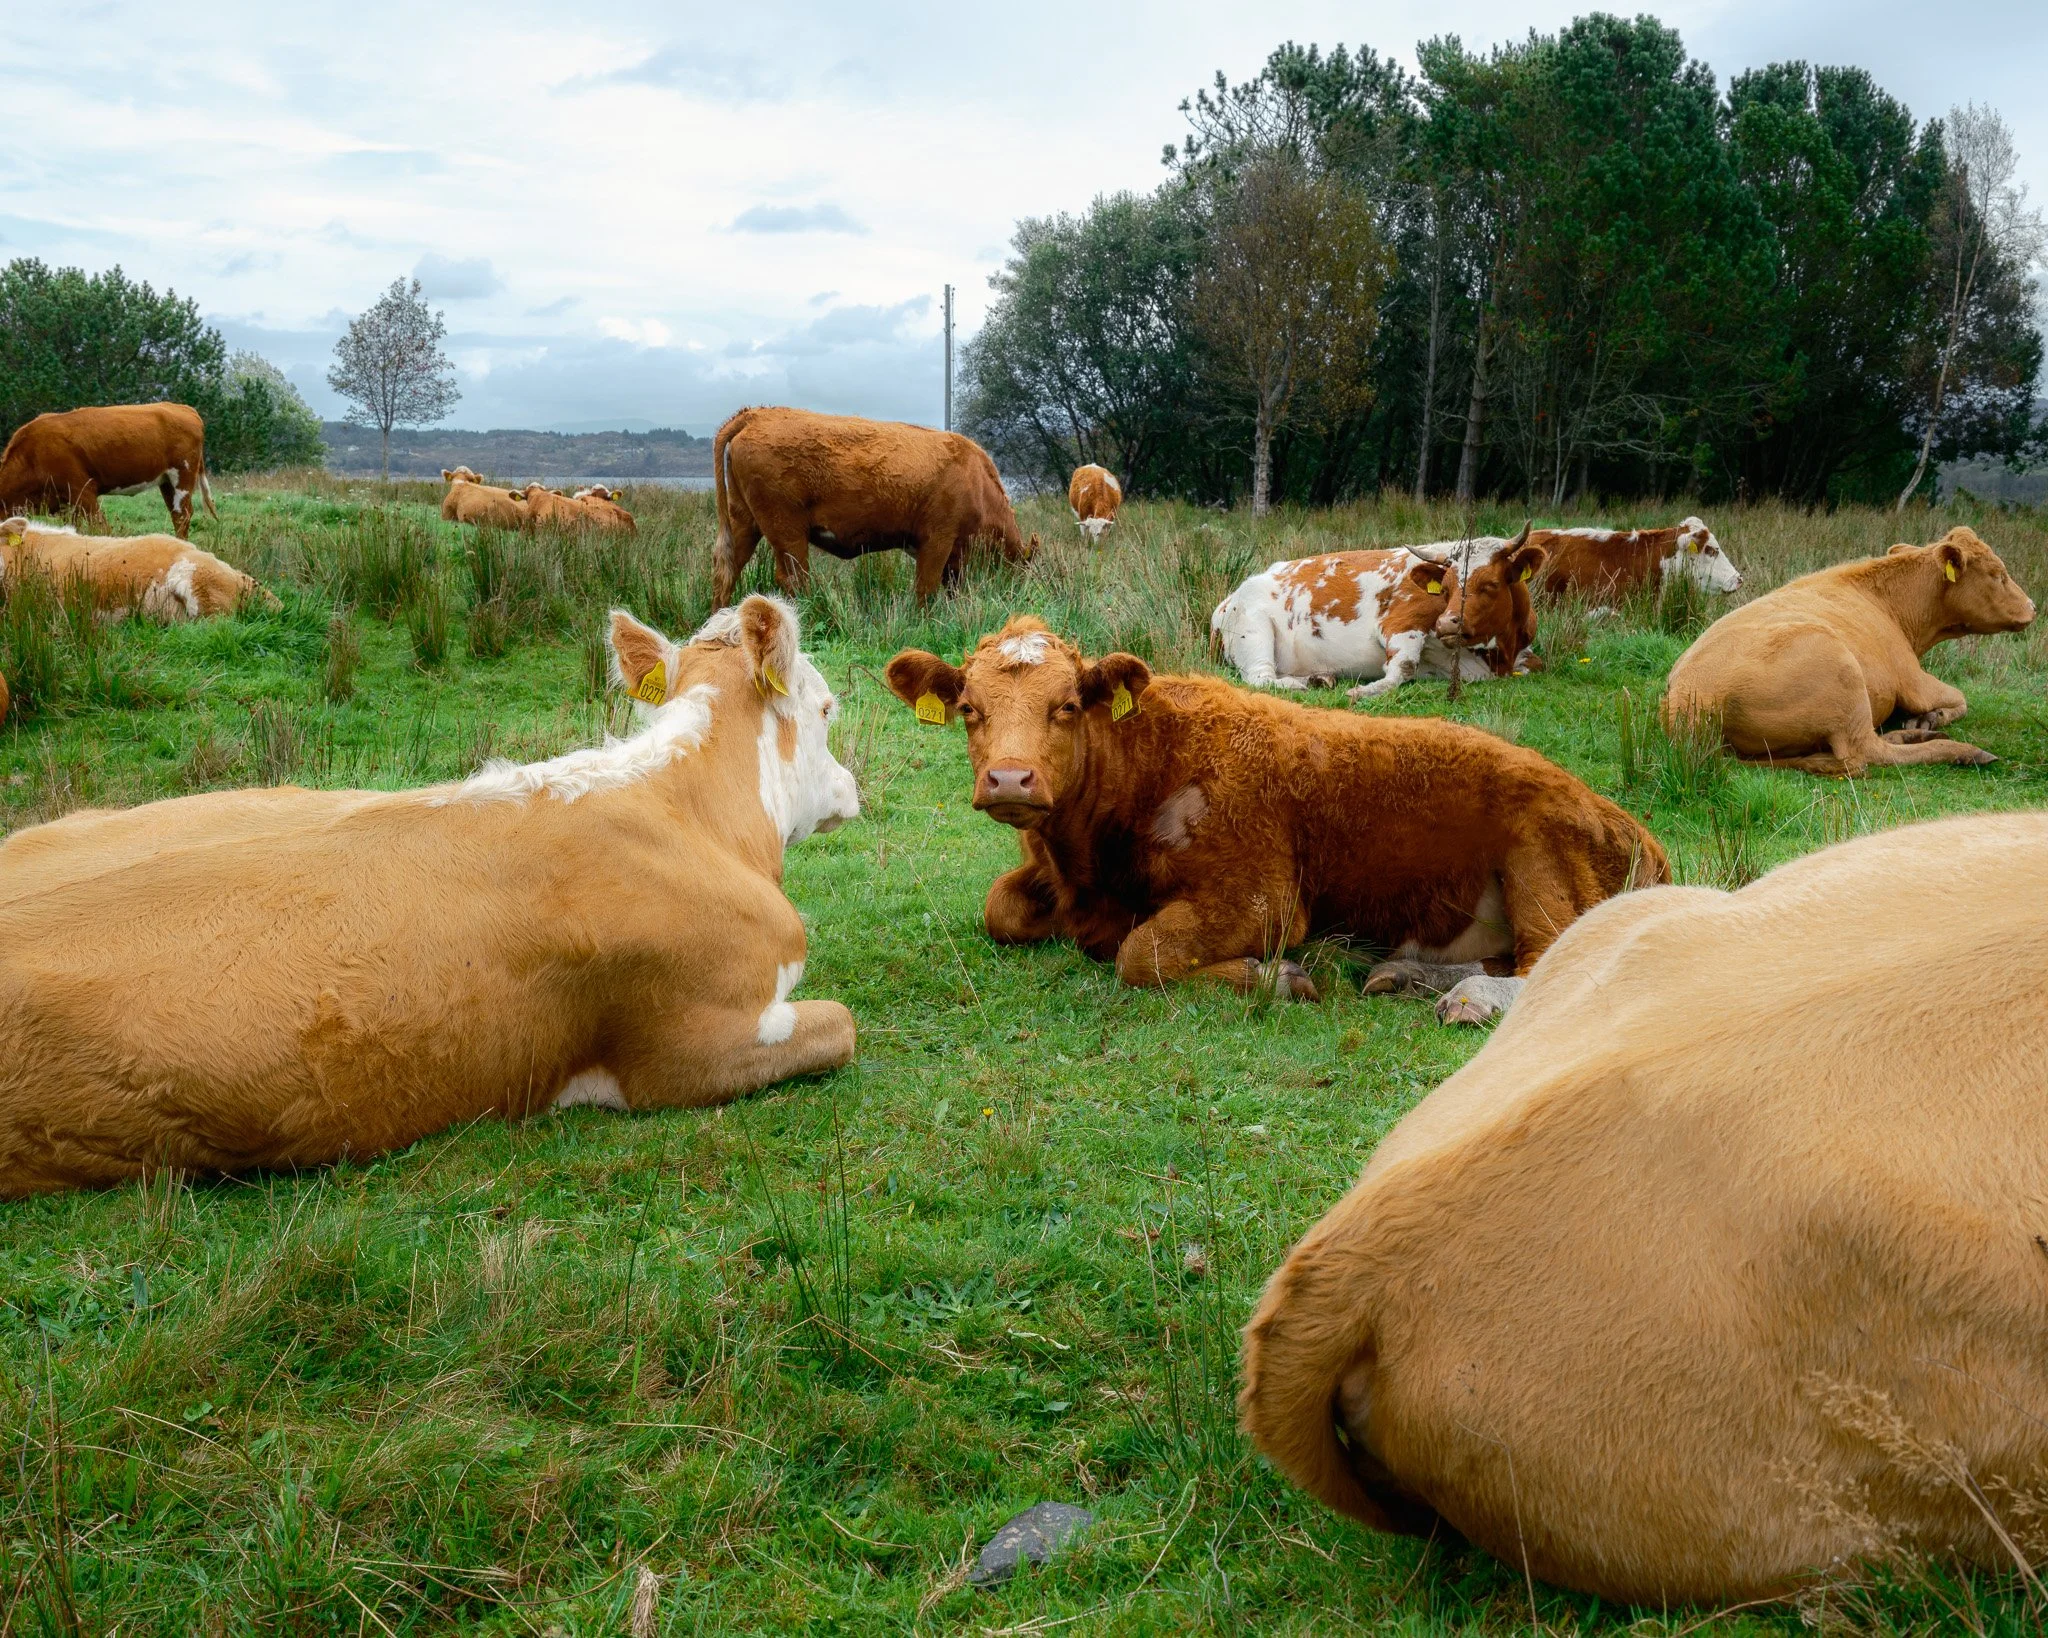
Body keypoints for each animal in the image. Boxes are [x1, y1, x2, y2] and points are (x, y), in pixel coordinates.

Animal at [0, 403, 217, 540]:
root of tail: (184, 408)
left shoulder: (83, 491)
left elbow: (101, 527)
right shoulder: (65, 504)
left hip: (183, 475)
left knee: (182, 515)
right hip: (166, 482)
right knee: (175, 514)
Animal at [711, 406, 1035, 607]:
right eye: (1019, 568)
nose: (1018, 597)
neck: (976, 479)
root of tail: (755, 415)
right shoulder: (937, 540)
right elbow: (926, 588)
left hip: (745, 522)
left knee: (727, 568)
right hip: (787, 531)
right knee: (793, 578)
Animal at [884, 616, 1665, 1025]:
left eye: (1067, 706)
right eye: (969, 709)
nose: (1010, 779)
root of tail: (1628, 822)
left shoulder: (1260, 895)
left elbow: (1143, 952)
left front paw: (1277, 978)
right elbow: (1001, 909)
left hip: (1542, 860)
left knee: (1555, 965)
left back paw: (1463, 997)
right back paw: (1402, 973)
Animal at [1664, 527, 2034, 776]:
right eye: (1998, 574)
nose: (2032, 606)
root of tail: (1690, 691)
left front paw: (1926, 720)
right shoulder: (1914, 680)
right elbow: (1960, 698)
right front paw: (1931, 717)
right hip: (1844, 674)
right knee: (1866, 753)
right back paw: (1960, 750)